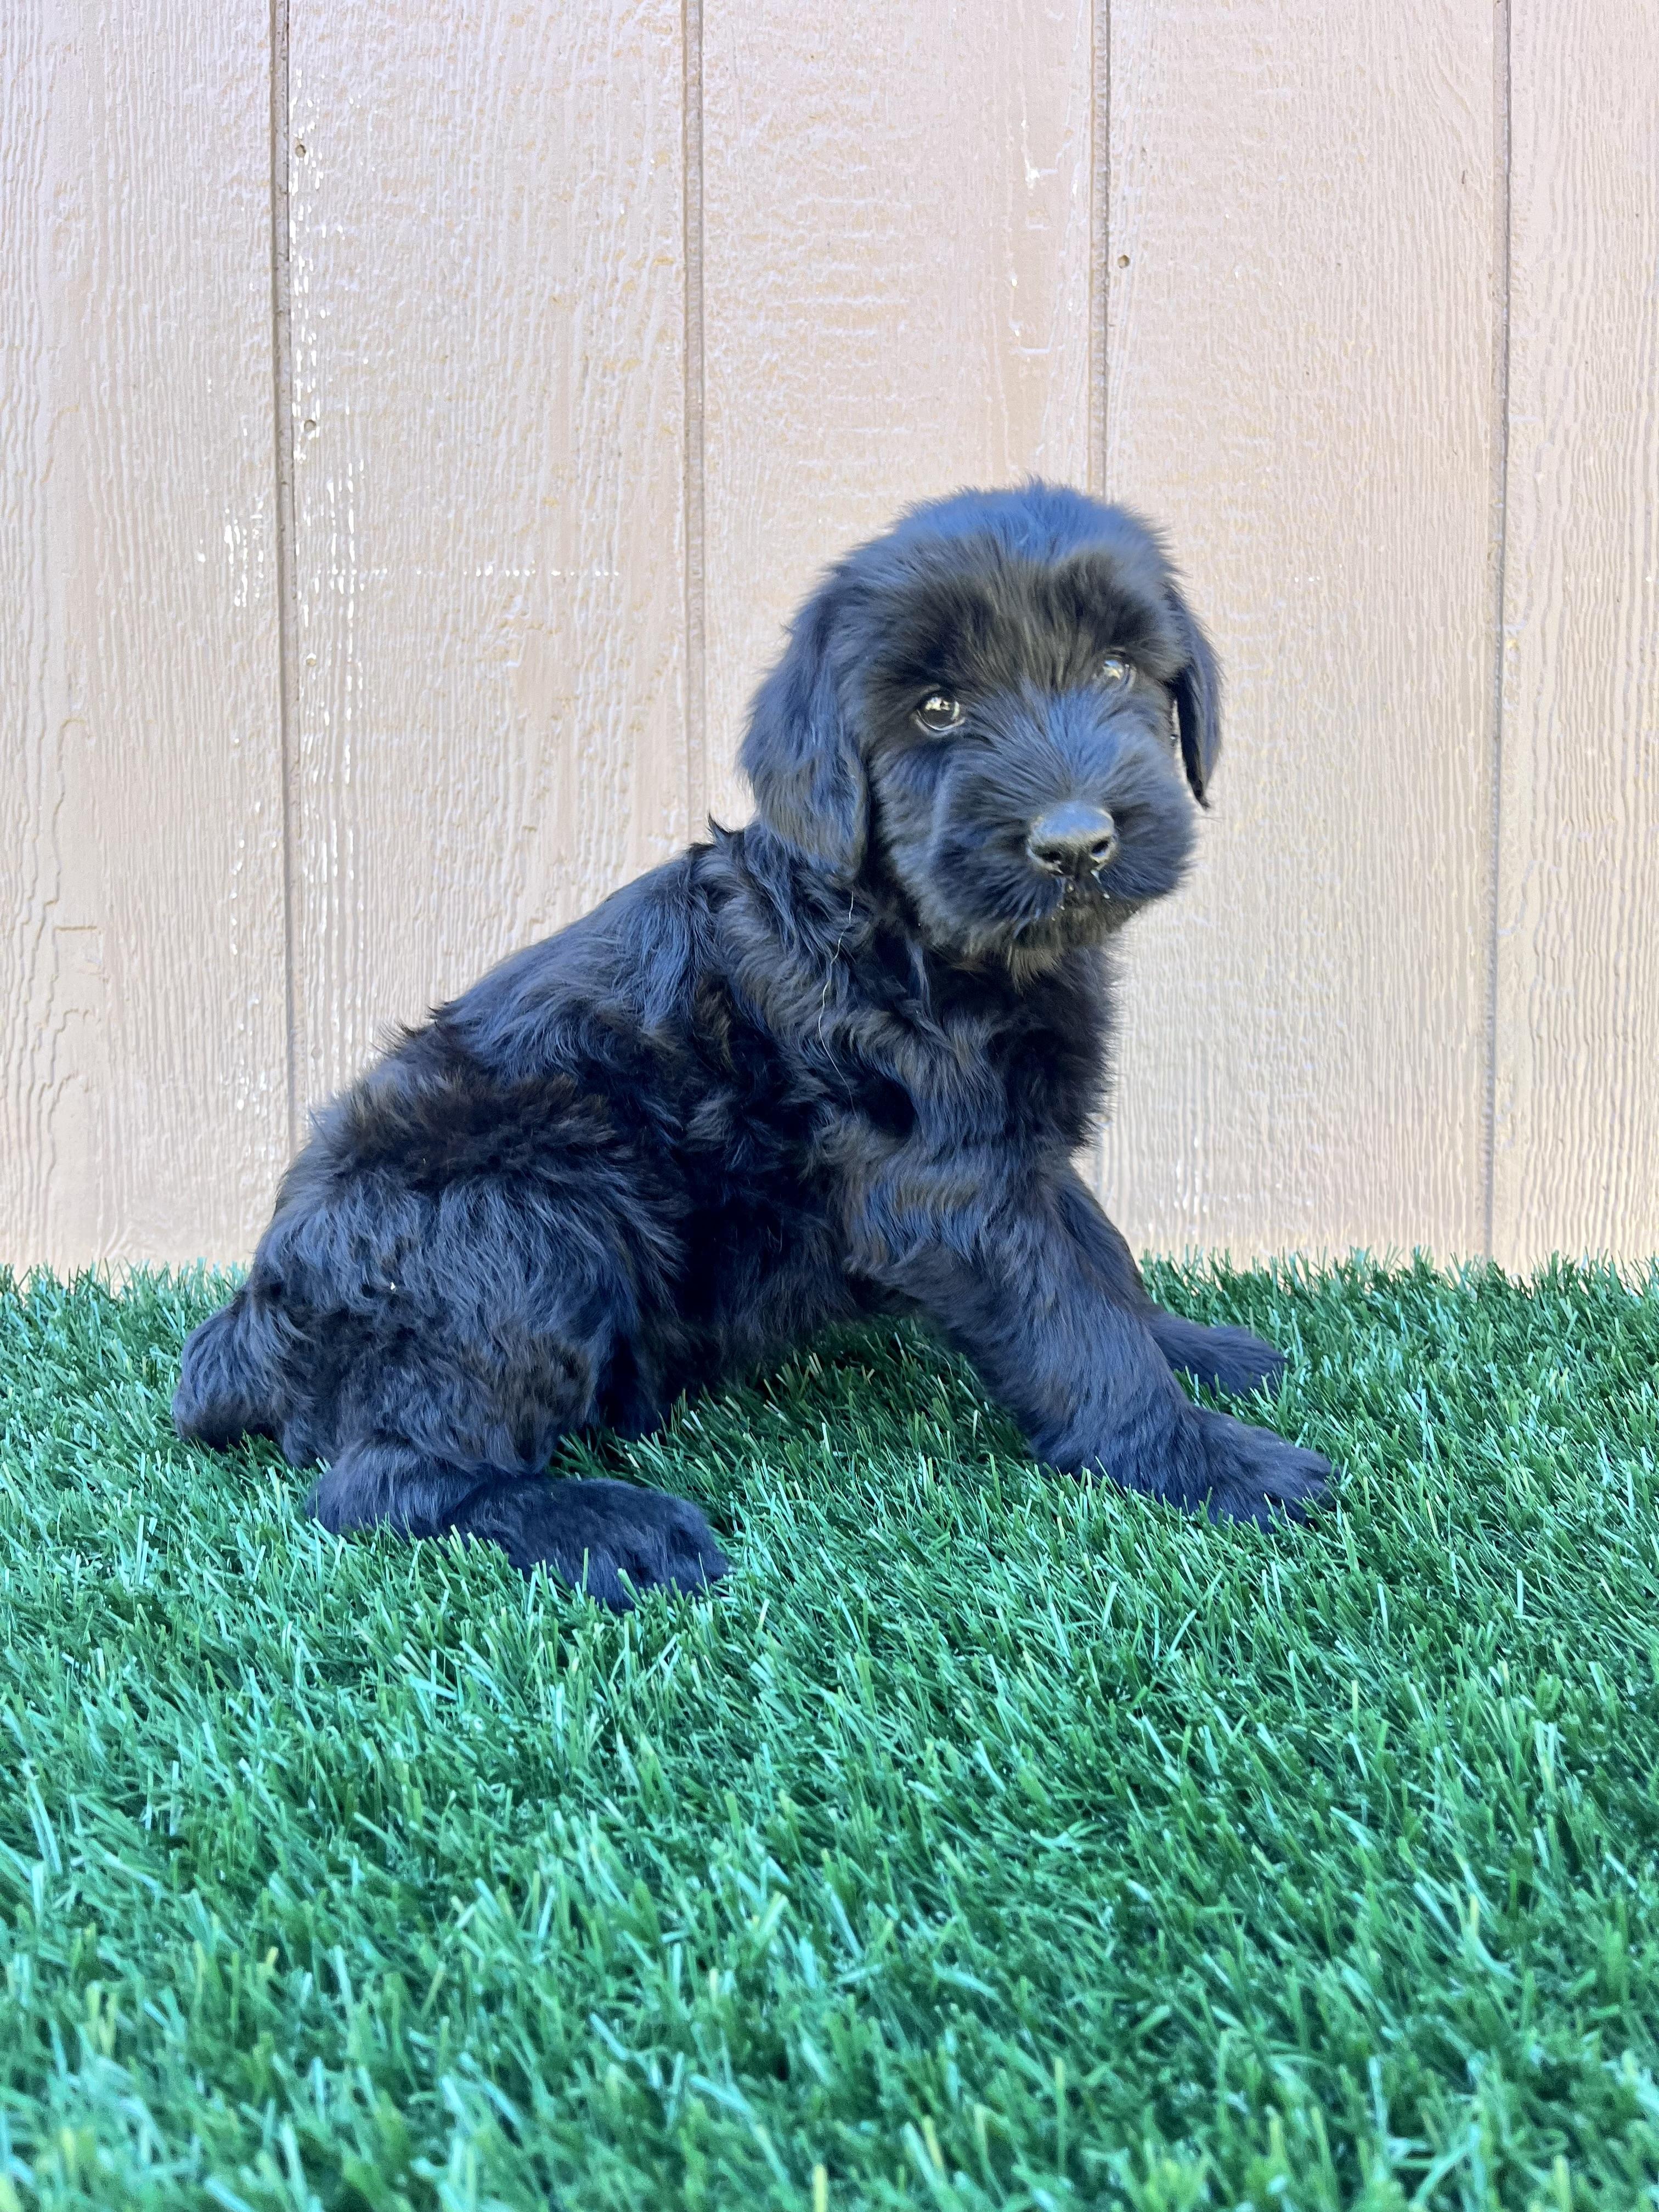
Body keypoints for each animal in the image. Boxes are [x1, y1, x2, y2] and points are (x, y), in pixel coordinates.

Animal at [175, 482, 1330, 1605]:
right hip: (516, 1228)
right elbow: (1074, 1323)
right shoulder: (943, 1186)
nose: (1075, 842)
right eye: (937, 709)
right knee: (384, 1481)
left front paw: (1195, 1351)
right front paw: (1203, 1458)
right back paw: (615, 1528)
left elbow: (1099, 1254)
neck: (908, 932)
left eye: (1114, 667)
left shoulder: (1016, 1145)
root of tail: (245, 1336)